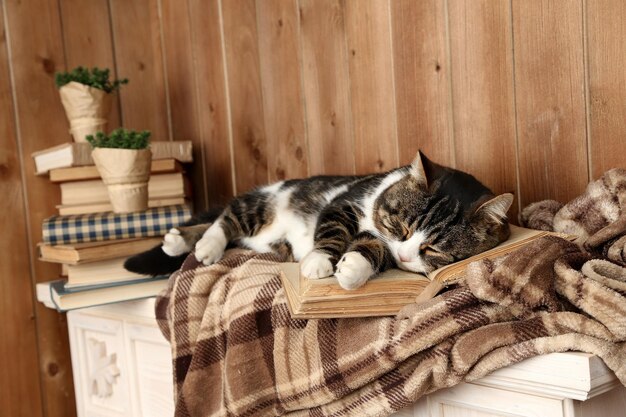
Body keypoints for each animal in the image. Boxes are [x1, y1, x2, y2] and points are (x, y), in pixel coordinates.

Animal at [124, 152, 510, 290]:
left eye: (433, 249)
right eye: (401, 227)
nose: (404, 255)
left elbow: (371, 247)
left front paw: (352, 269)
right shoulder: (344, 204)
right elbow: (333, 229)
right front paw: (320, 262)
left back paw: (180, 240)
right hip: (261, 206)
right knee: (227, 216)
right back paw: (199, 244)